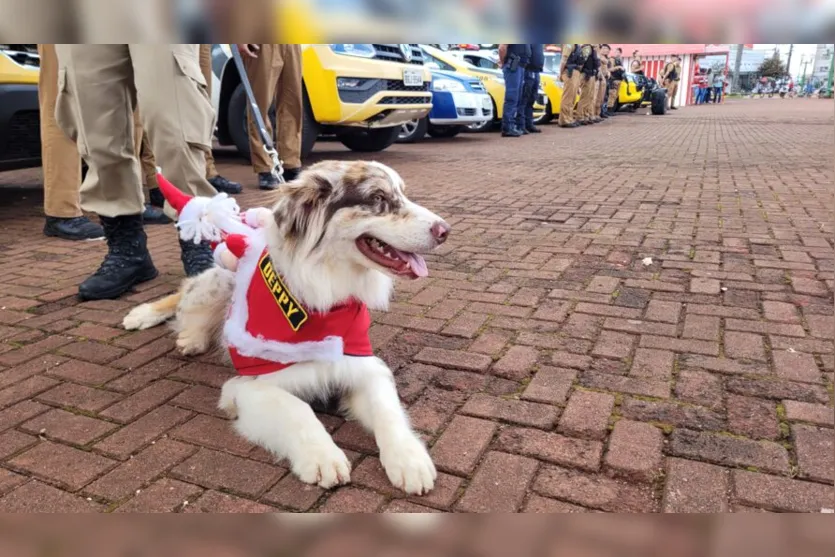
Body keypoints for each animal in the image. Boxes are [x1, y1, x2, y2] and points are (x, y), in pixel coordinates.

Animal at [122, 161, 450, 496]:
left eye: (402, 194)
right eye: (378, 197)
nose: (444, 231)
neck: (322, 298)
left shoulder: (363, 366)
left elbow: (387, 410)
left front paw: (409, 459)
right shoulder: (248, 387)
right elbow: (297, 409)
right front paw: (322, 457)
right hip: (216, 283)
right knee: (183, 296)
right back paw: (159, 323)